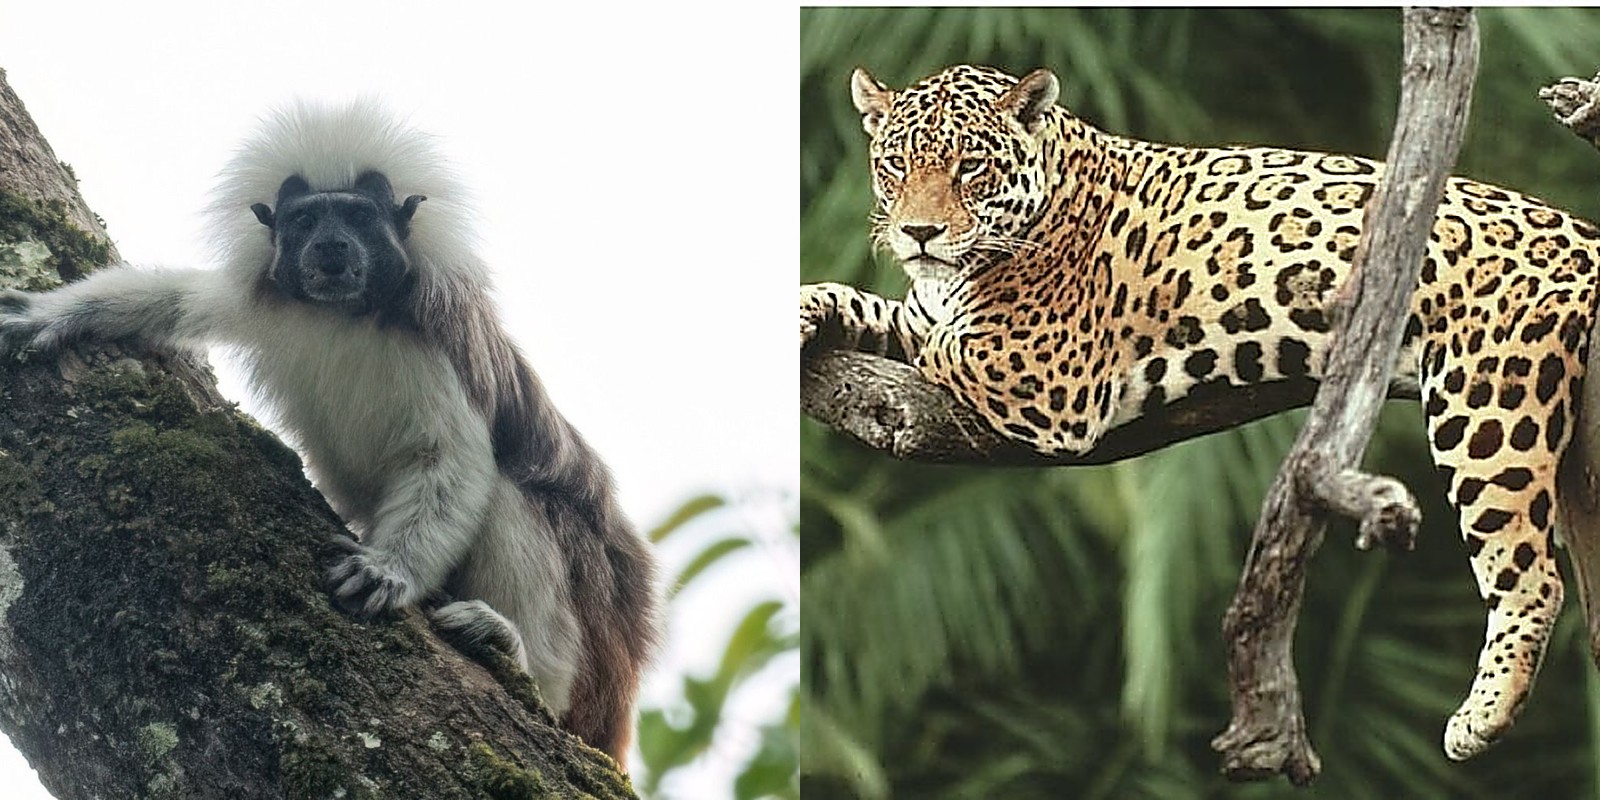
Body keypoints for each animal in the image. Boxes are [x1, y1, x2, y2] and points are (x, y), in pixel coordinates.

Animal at [799, 63, 1600, 761]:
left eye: (970, 167)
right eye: (896, 166)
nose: (919, 233)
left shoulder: (1049, 371)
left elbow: (944, 342)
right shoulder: (927, 310)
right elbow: (880, 308)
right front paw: (809, 308)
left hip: (1486, 400)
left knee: (1532, 577)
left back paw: (1482, 716)